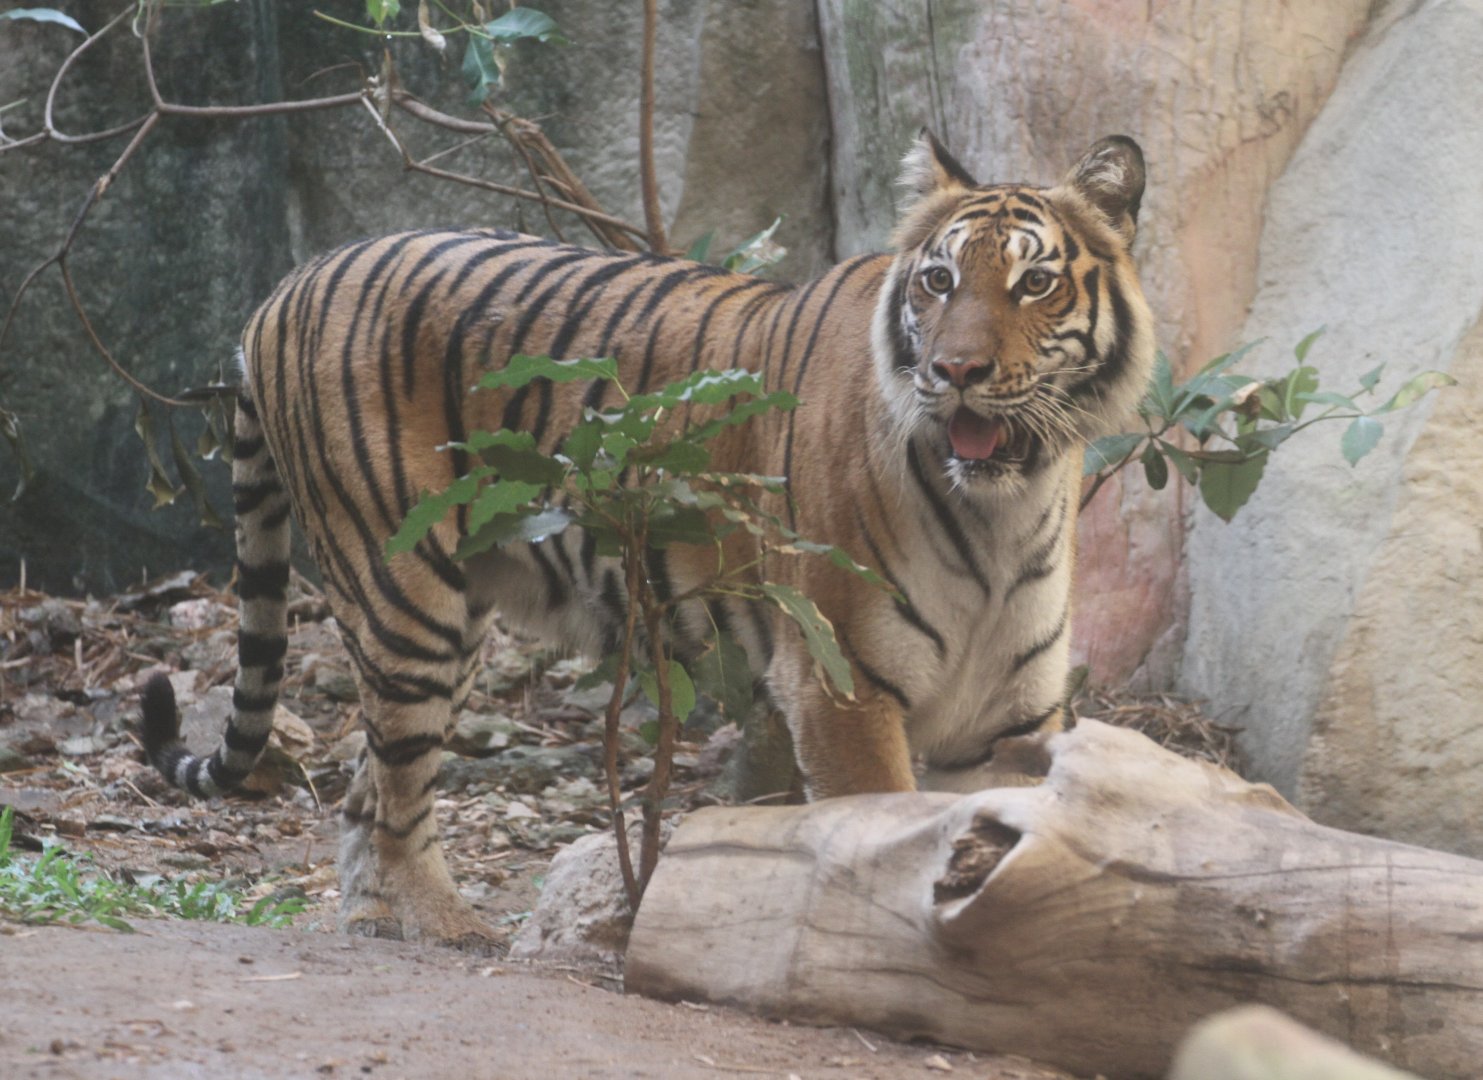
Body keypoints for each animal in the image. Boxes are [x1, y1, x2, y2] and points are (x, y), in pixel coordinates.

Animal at [140, 133, 1155, 946]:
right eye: (939, 280)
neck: (1002, 508)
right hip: (404, 596)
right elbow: (879, 838)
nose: (954, 372)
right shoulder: (842, 688)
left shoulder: (1011, 720)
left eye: (1033, 281)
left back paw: (388, 921)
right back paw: (447, 927)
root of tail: (288, 282)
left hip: (449, 622)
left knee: (365, 791)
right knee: (390, 792)